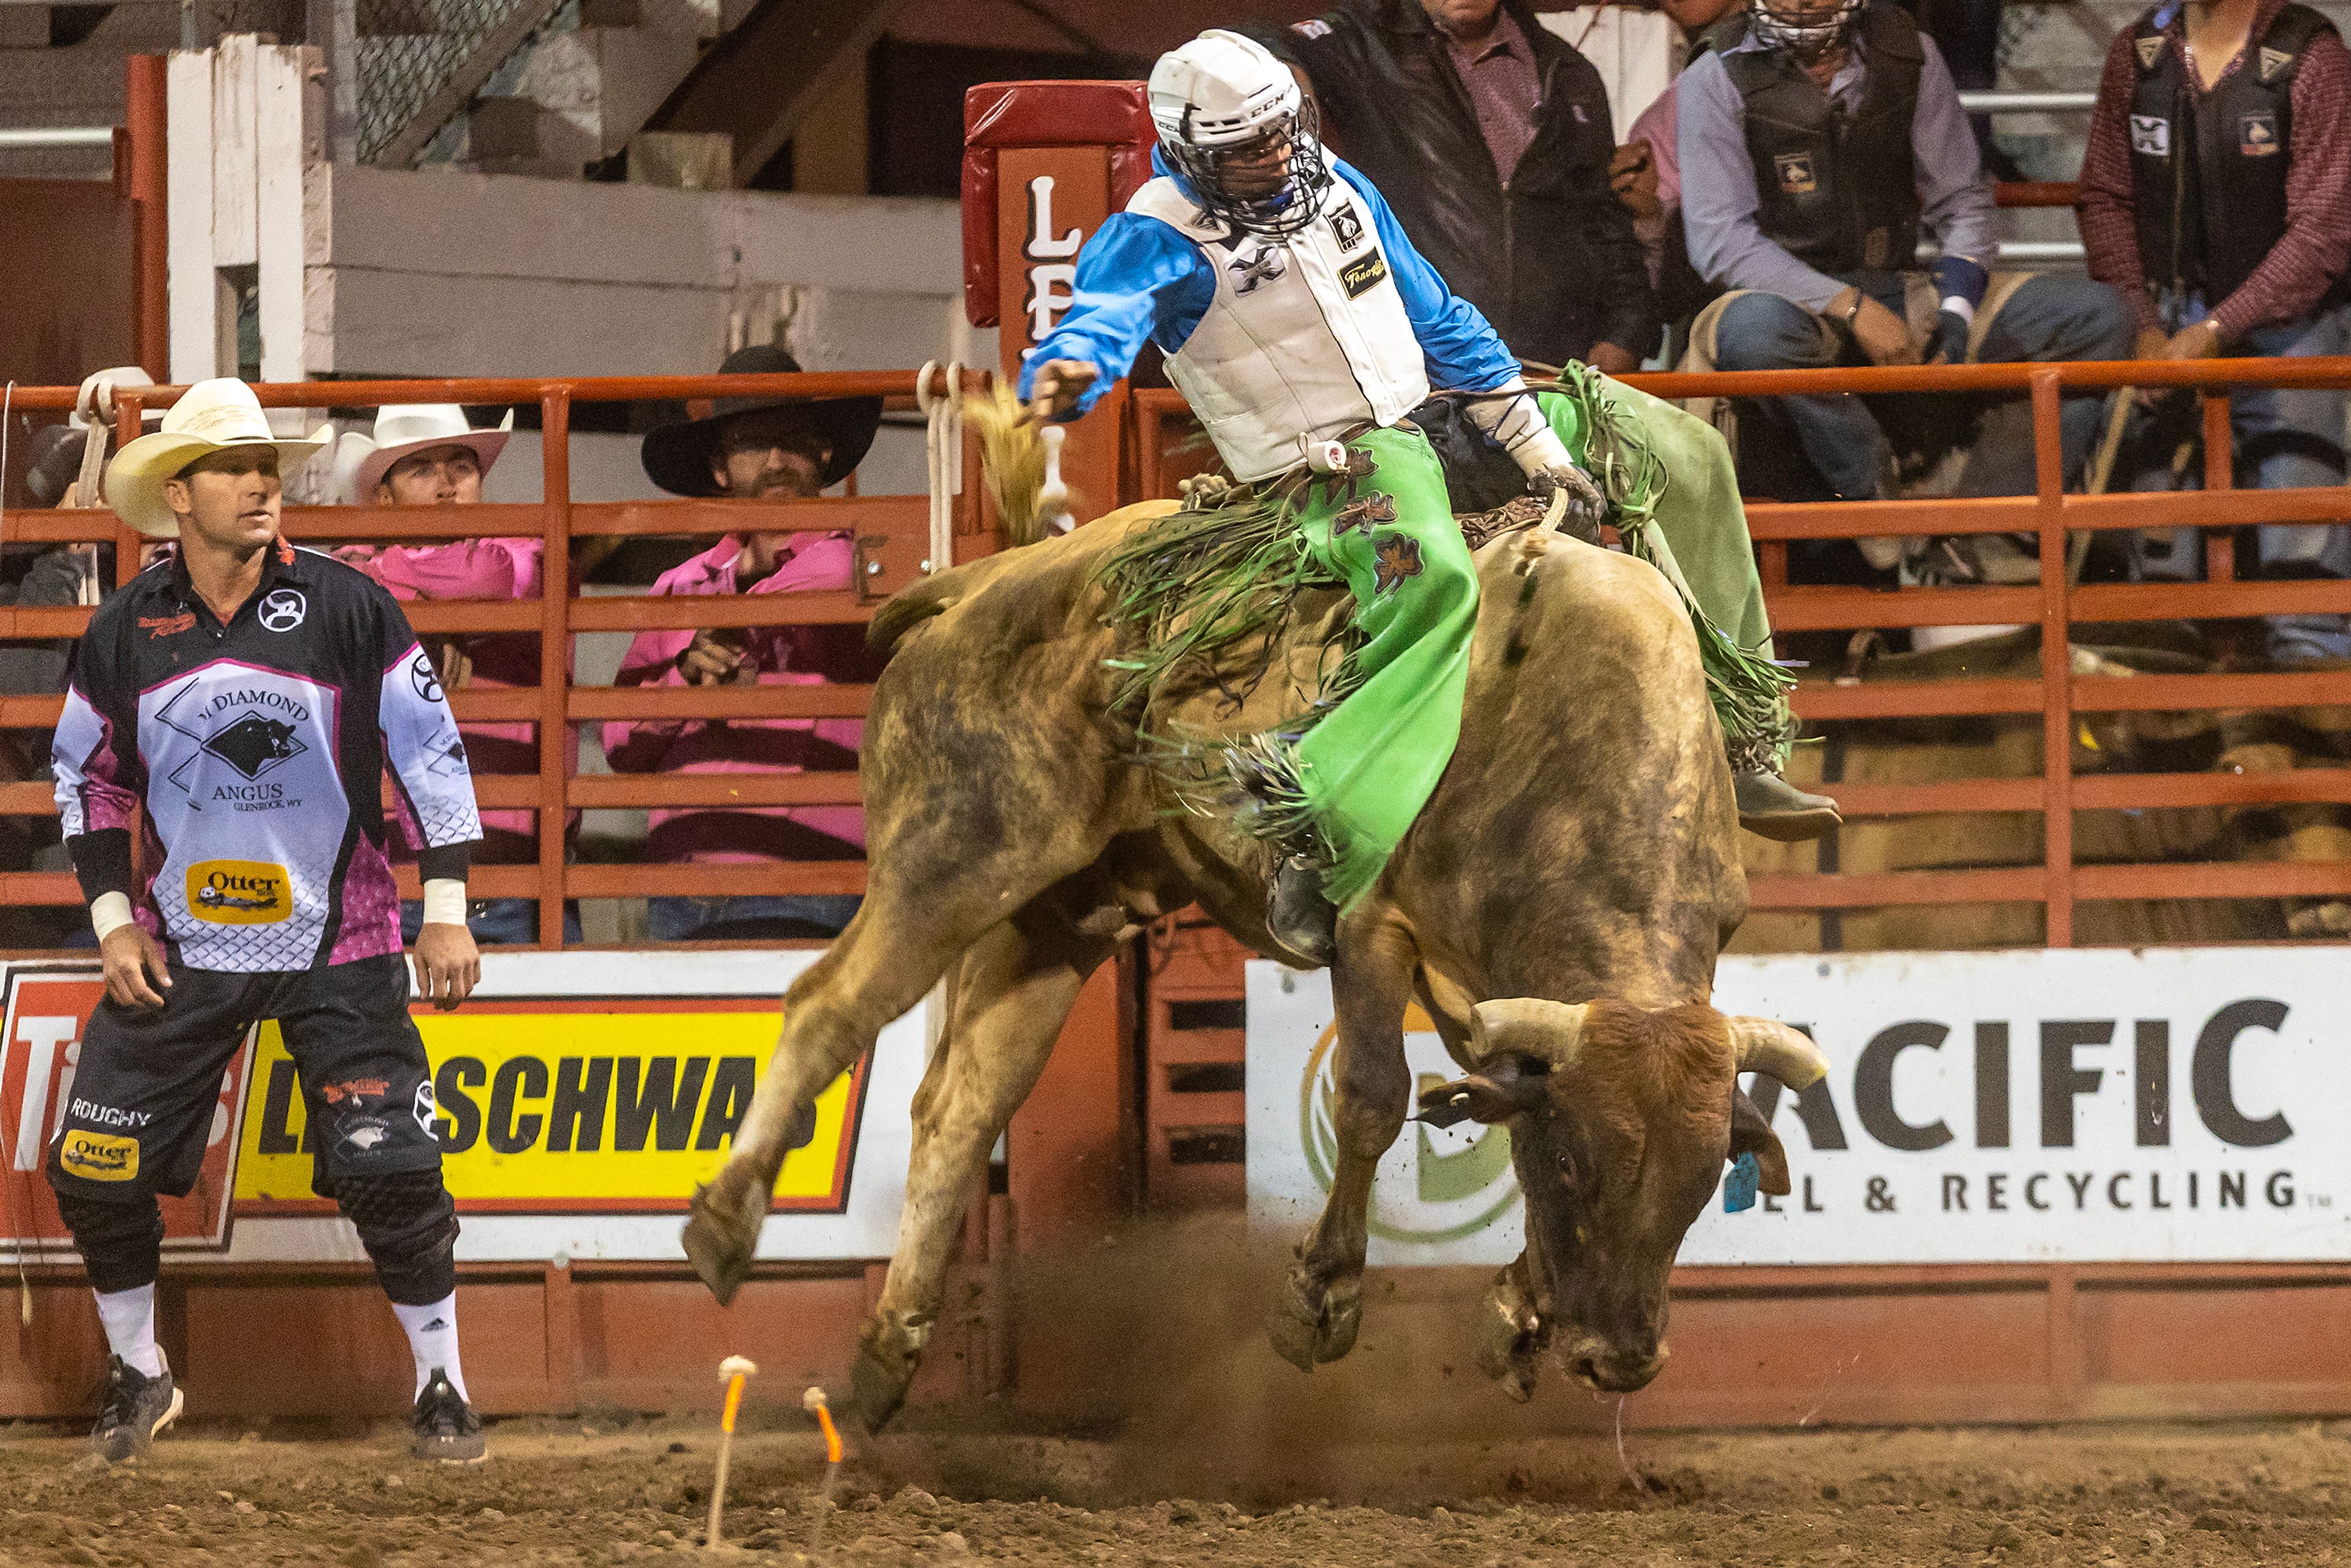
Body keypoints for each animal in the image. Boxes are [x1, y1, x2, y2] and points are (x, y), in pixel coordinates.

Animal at [681, 496, 1834, 1429]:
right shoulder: (1372, 928)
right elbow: (1373, 1096)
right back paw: (723, 1229)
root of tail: (977, 585)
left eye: (1702, 1186)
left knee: (960, 1105)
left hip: (1056, 914)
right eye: (1574, 1167)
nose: (1622, 1362)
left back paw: (886, 1357)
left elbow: (1502, 1097)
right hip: (953, 848)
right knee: (828, 1006)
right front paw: (1319, 1300)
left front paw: (1515, 1310)